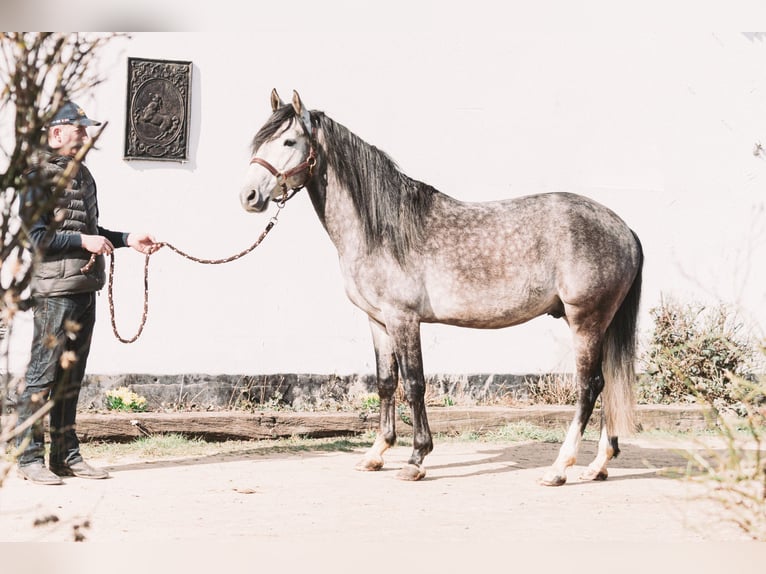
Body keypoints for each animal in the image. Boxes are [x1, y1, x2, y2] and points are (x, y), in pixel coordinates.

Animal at [242, 90, 648, 486]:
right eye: (258, 142)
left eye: (289, 141)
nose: (248, 196)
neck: (381, 229)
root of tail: (624, 230)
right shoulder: (378, 321)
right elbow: (386, 383)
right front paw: (376, 454)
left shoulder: (404, 319)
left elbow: (414, 383)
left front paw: (416, 458)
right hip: (597, 323)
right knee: (608, 383)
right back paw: (598, 465)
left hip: (585, 320)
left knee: (589, 386)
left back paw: (559, 468)